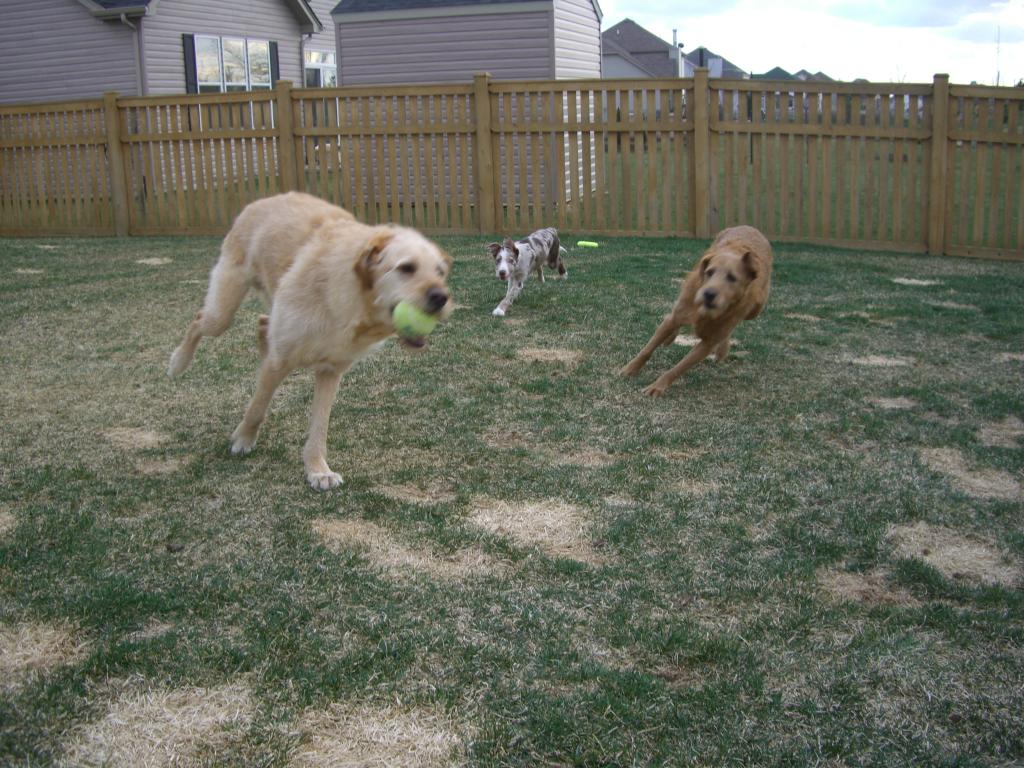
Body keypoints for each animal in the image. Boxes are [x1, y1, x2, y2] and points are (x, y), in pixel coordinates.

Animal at [167, 195, 452, 489]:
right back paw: (178, 362)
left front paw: (317, 469)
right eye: (406, 268)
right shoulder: (281, 359)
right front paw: (244, 438)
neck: (351, 303)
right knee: (200, 320)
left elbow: (319, 426)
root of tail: (261, 201)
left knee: (262, 324)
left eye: (440, 272)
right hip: (223, 311)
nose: (442, 297)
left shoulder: (330, 371)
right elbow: (257, 406)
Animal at [618, 224, 770, 397]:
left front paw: (657, 386)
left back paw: (722, 350)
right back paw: (670, 338)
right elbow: (648, 348)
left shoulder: (708, 343)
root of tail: (749, 227)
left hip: (755, 310)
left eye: (732, 278)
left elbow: (680, 367)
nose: (708, 294)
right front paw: (630, 369)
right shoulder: (677, 315)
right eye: (710, 272)